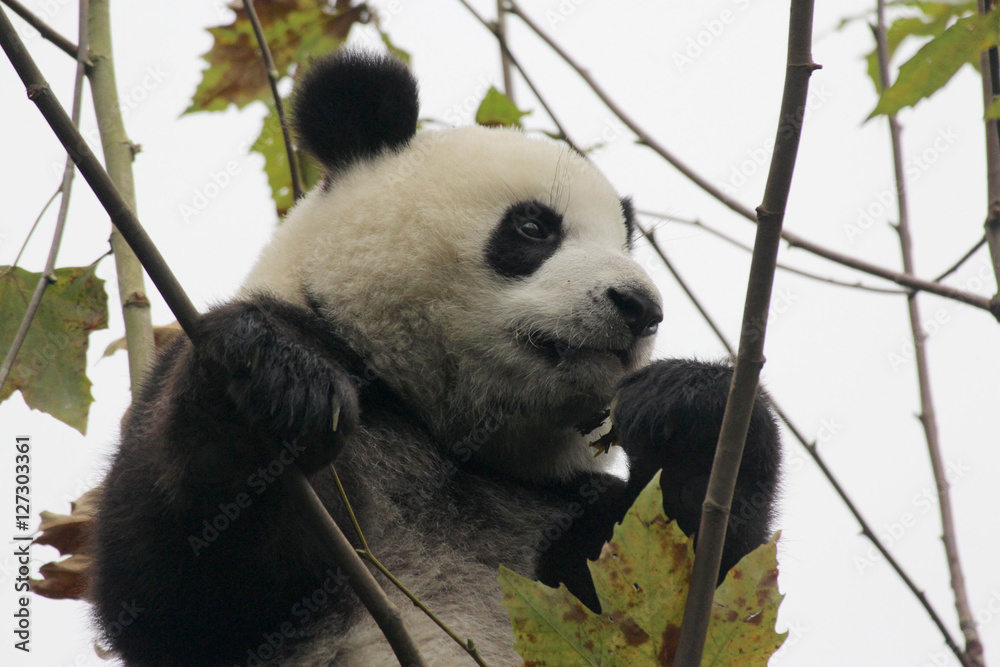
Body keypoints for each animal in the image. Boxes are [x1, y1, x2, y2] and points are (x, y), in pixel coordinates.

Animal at [92, 50, 780, 666]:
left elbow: (699, 591)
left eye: (625, 244)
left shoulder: (560, 514)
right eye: (534, 228)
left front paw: (690, 413)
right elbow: (176, 590)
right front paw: (267, 383)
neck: (444, 434)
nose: (640, 307)